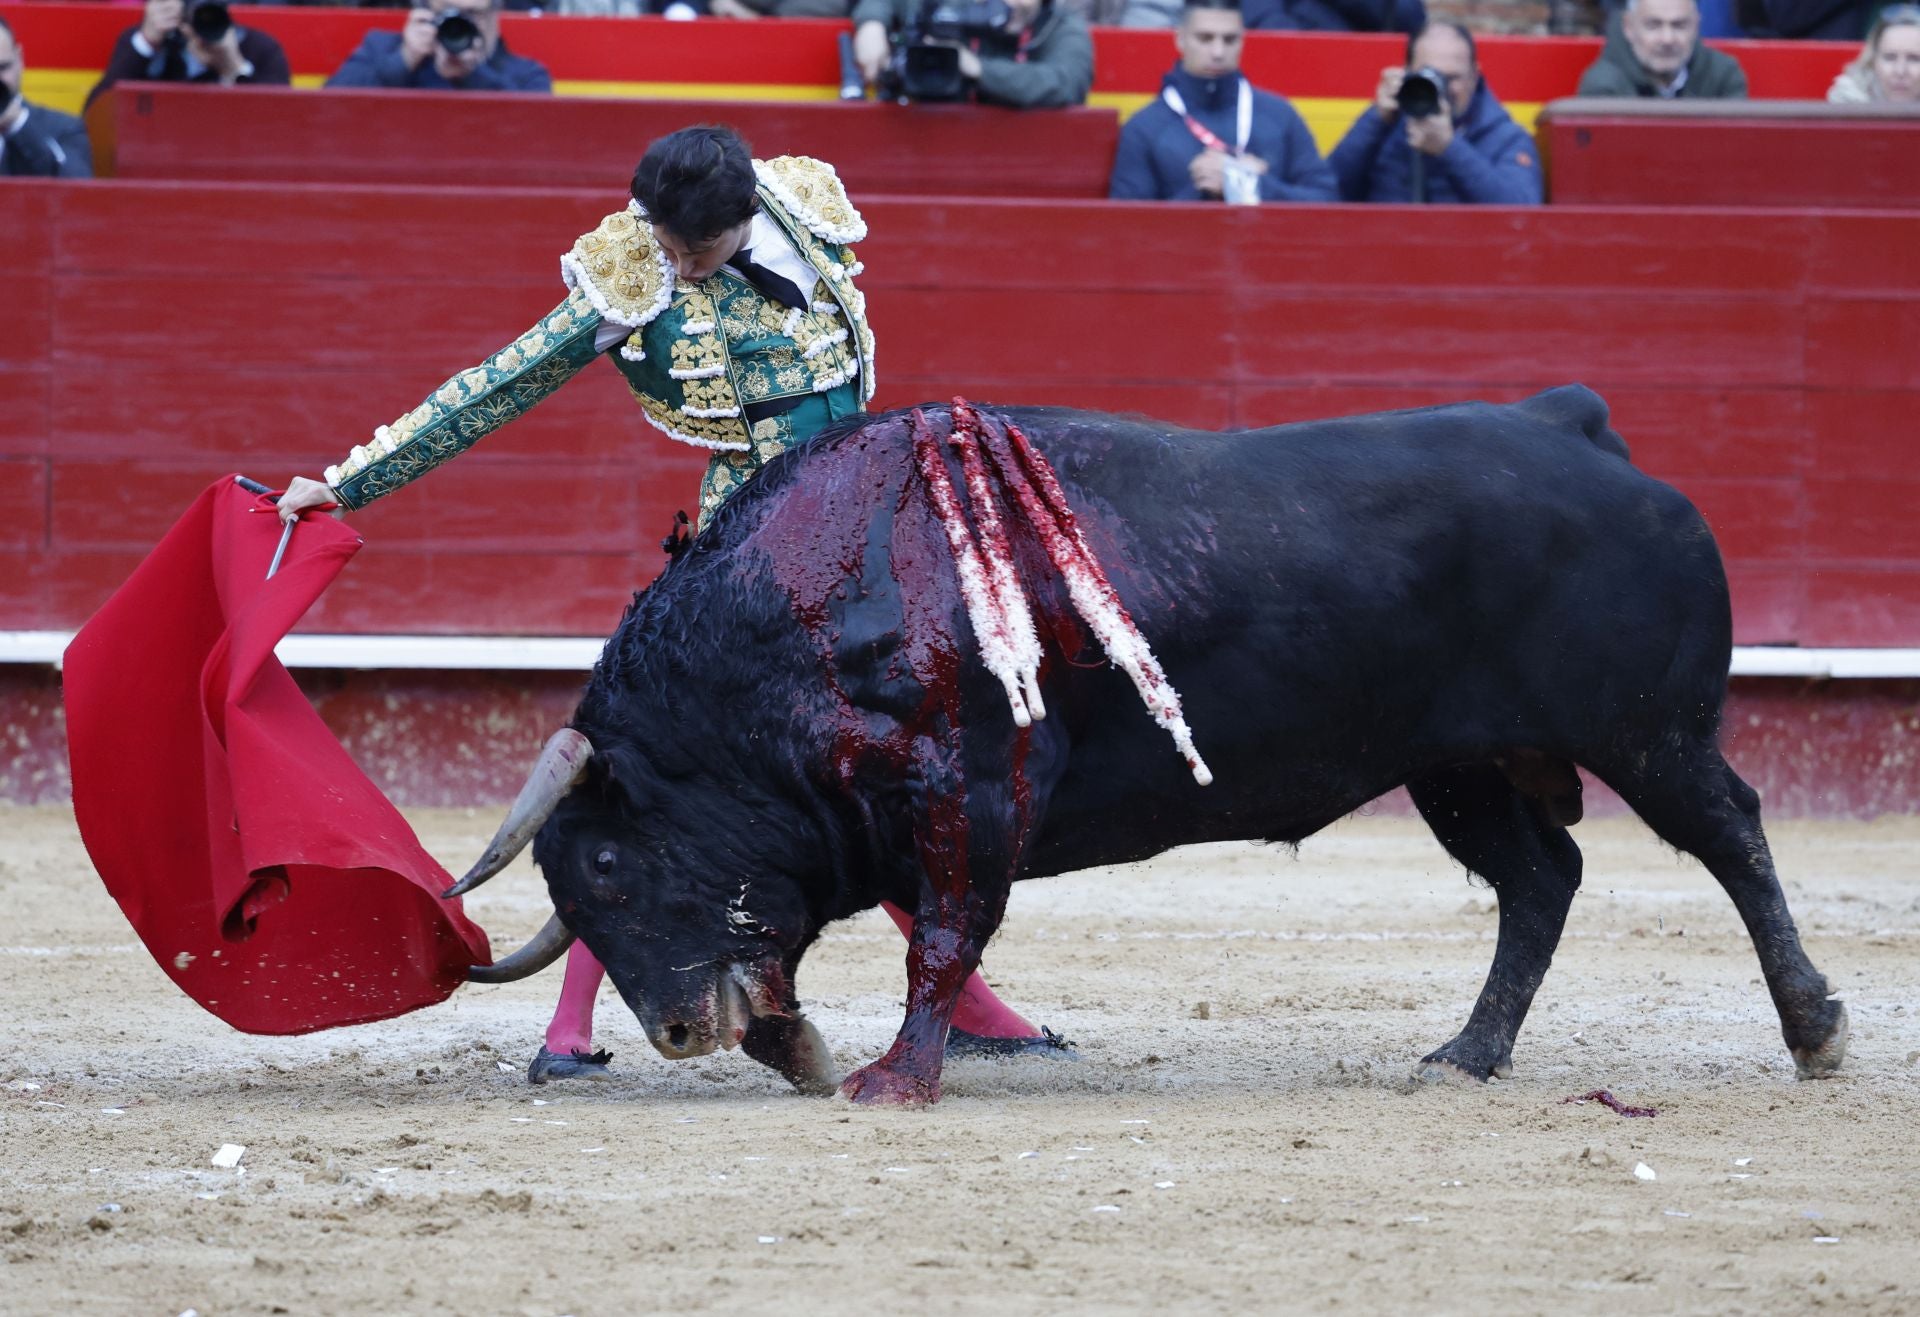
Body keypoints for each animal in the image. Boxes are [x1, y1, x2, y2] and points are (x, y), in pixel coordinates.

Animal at [453, 387, 1843, 1105]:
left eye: (611, 867)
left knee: (1733, 835)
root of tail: (1578, 428)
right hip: (1458, 768)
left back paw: (1815, 1030)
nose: (676, 1034)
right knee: (1543, 876)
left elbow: (942, 943)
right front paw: (806, 1052)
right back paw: (1468, 1055)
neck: (815, 601)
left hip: (1645, 733)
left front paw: (895, 1081)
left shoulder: (972, 803)